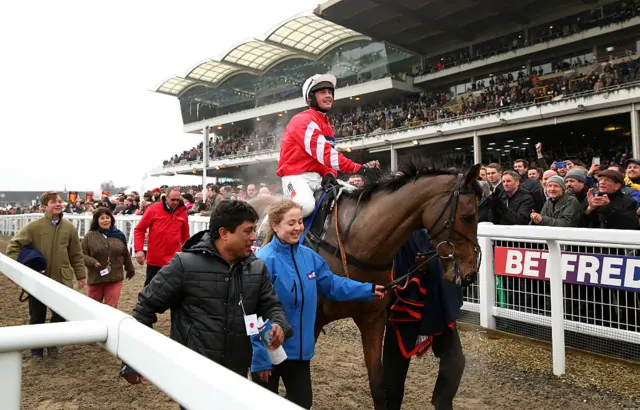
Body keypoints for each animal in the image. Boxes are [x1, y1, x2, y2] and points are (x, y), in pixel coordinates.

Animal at [250, 164, 480, 410]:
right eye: (468, 216)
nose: (471, 272)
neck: (356, 242)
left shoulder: (373, 318)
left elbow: (378, 388)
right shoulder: (311, 322)